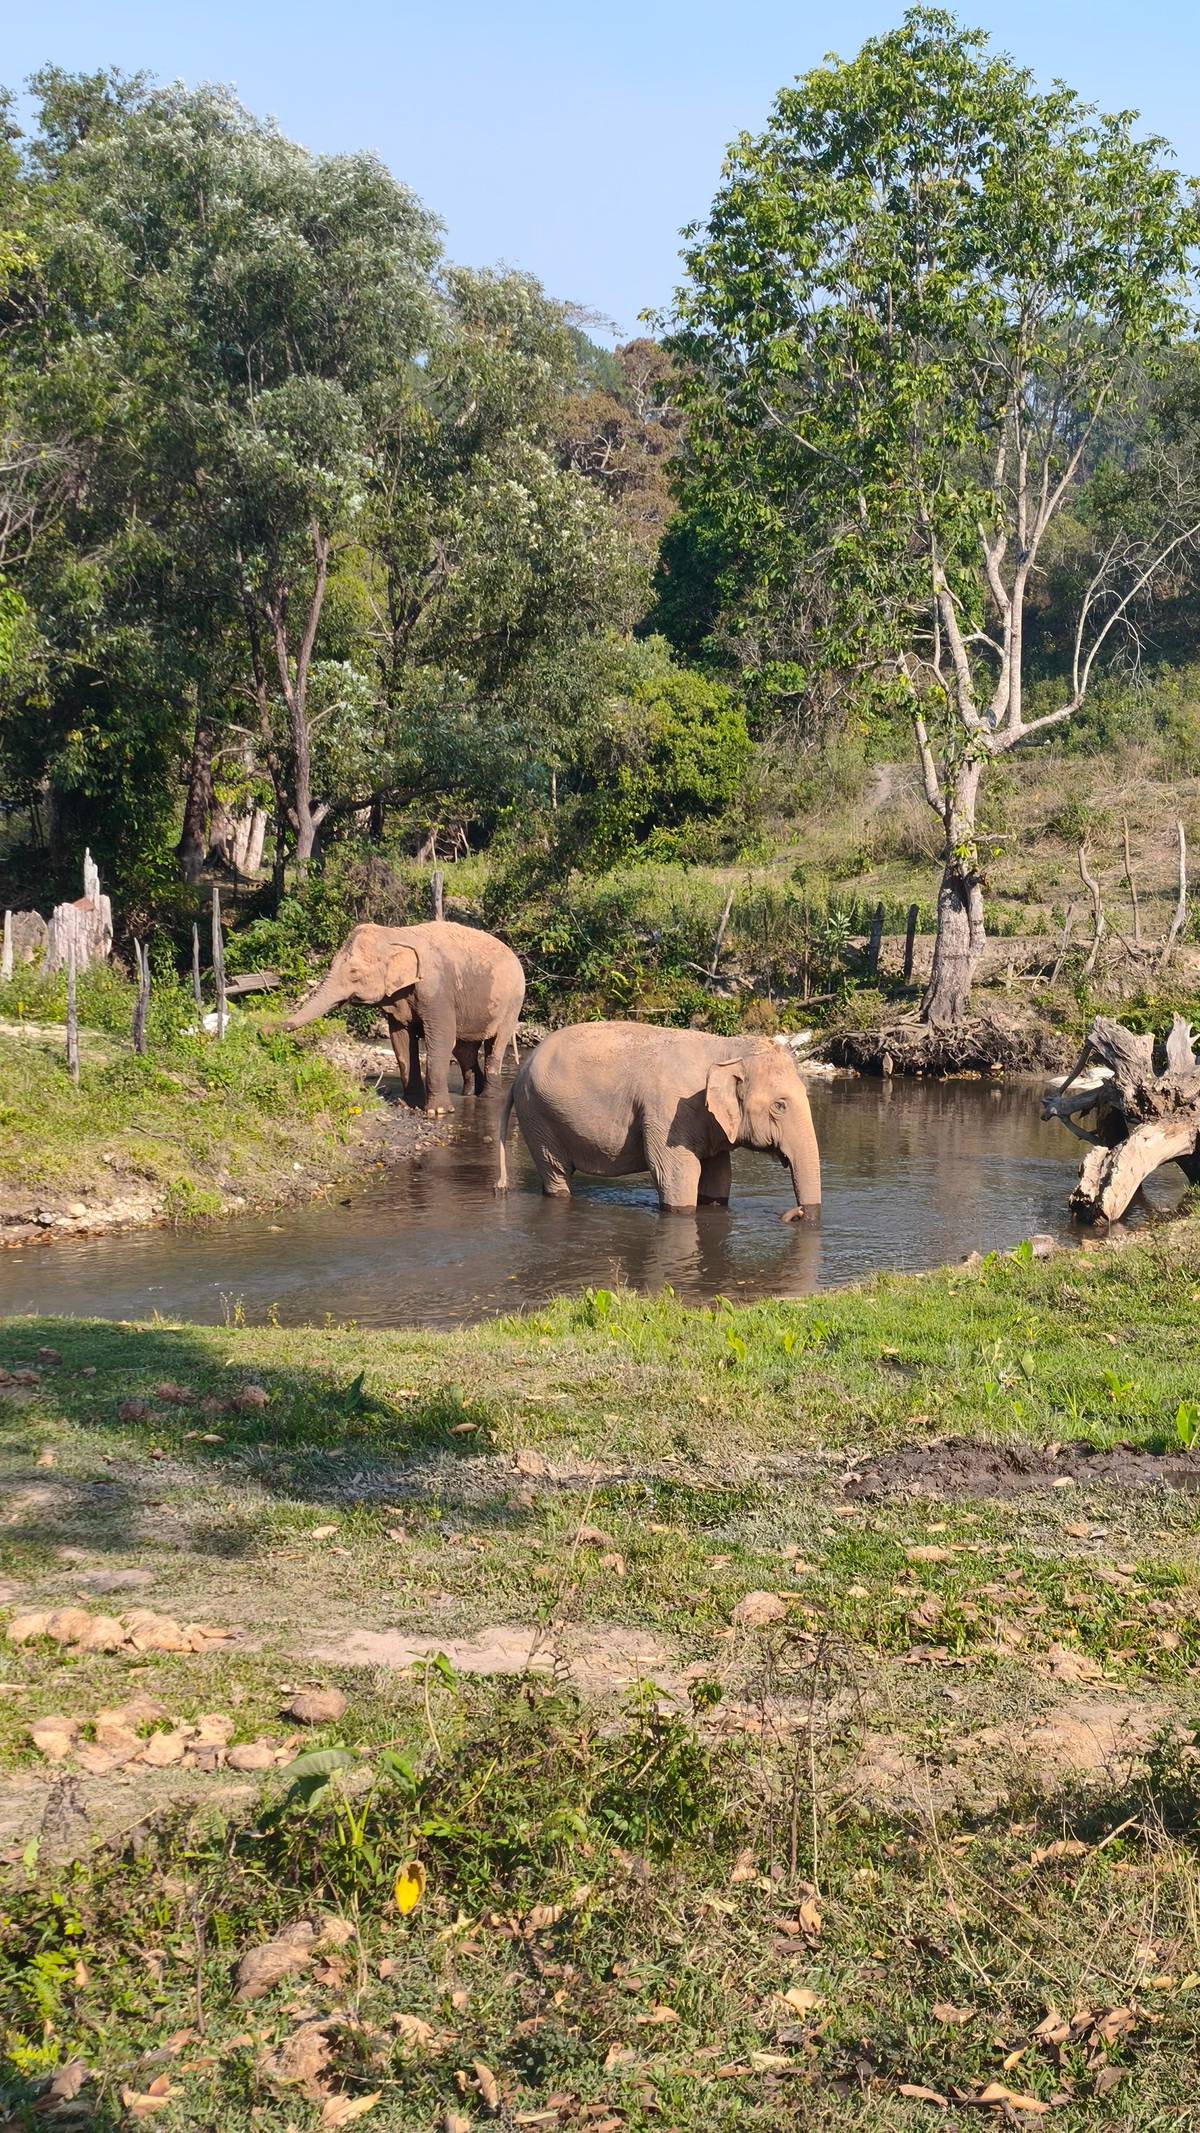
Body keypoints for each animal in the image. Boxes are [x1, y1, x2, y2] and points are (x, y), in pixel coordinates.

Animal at [286, 920, 525, 1115]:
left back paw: (488, 1097)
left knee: (495, 1045)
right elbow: (400, 1040)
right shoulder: (399, 998)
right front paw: (408, 1103)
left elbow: (441, 1039)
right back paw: (469, 1094)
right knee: (464, 1050)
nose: (277, 1027)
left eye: (354, 972)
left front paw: (438, 1111)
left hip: (512, 1004)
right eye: (331, 965)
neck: (395, 933)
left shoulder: (437, 992)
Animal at [495, 1022, 821, 1220]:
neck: (727, 1048)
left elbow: (718, 1175)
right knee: (556, 1172)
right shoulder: (668, 1111)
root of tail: (520, 1072)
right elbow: (676, 1171)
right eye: (779, 1105)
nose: (796, 1213)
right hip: (538, 1116)